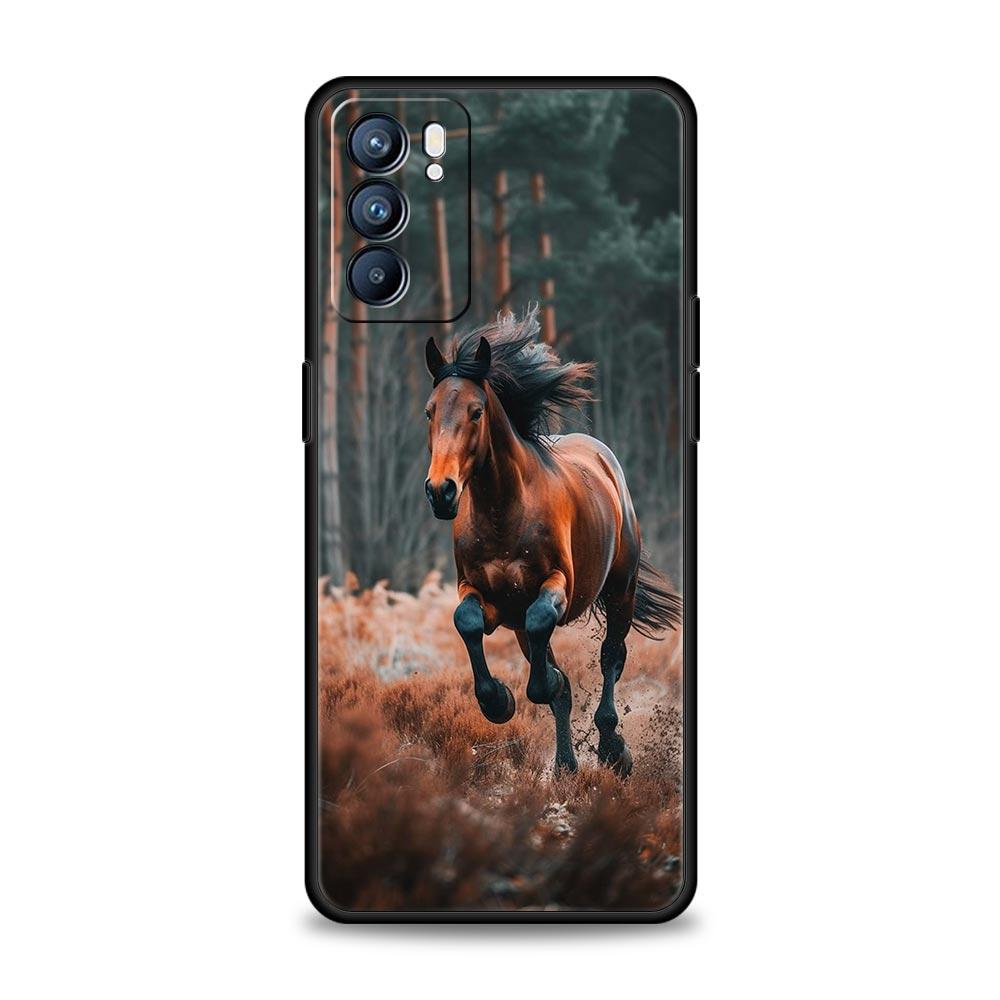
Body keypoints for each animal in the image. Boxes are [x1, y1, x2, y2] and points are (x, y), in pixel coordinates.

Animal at [423, 308, 681, 775]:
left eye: (476, 410)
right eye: (429, 411)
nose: (441, 491)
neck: (504, 513)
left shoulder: (557, 583)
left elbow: (545, 629)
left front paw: (545, 685)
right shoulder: (483, 593)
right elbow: (467, 622)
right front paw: (498, 701)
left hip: (621, 589)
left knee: (612, 657)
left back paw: (613, 749)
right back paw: (565, 766)